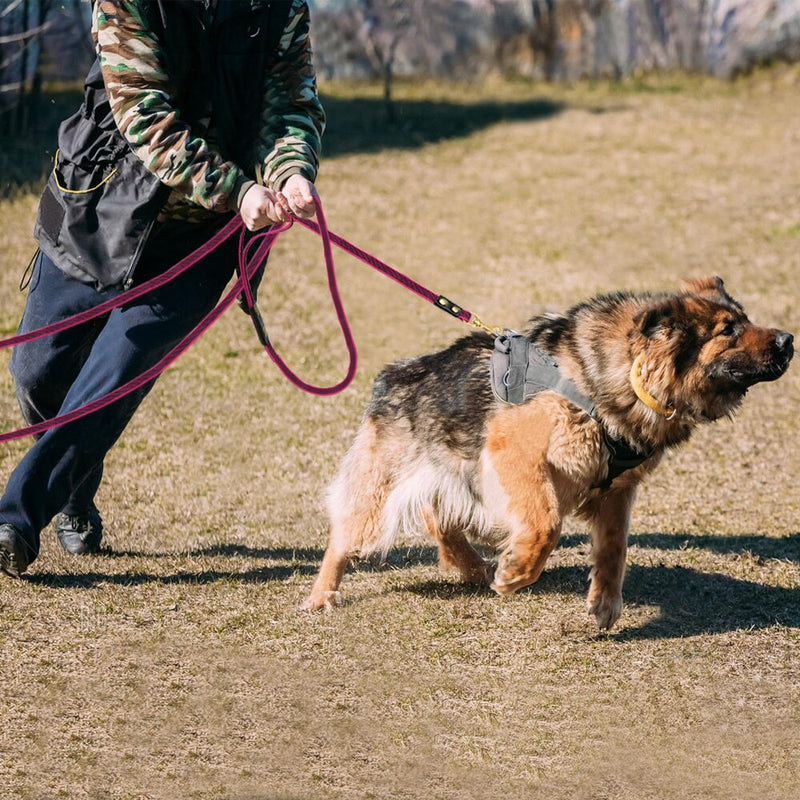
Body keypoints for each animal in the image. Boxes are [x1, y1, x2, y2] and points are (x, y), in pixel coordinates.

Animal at [302, 278, 792, 628]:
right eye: (728, 331)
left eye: (745, 320)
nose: (789, 340)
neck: (619, 377)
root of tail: (393, 377)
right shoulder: (515, 452)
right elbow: (546, 523)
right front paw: (517, 572)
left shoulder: (617, 490)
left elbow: (614, 549)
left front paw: (604, 603)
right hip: (384, 493)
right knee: (345, 538)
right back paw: (322, 595)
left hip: (458, 479)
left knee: (438, 517)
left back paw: (473, 567)